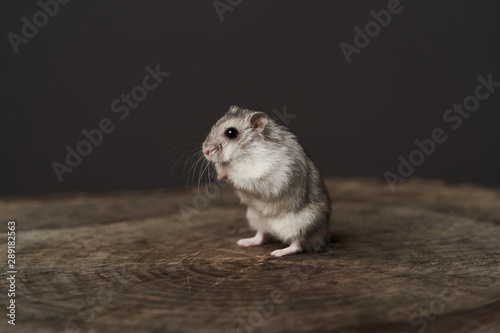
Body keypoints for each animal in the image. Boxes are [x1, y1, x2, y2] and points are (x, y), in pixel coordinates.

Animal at [201, 105, 330, 255]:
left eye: (231, 132)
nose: (205, 151)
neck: (243, 152)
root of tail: (322, 238)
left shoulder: (266, 175)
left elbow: (243, 179)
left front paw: (227, 176)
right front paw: (221, 175)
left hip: (302, 225)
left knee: (298, 245)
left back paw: (278, 252)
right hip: (255, 217)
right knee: (262, 235)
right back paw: (244, 242)